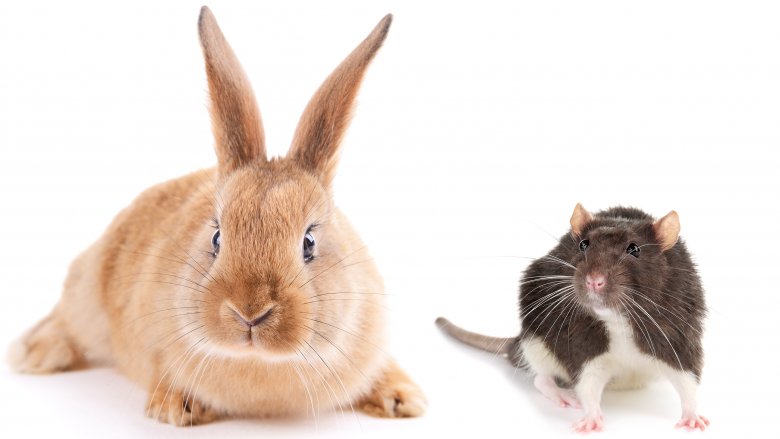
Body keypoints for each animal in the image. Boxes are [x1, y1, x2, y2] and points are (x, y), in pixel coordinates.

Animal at [8, 6, 426, 426]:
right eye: (216, 238)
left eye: (309, 242)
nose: (249, 312)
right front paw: (173, 408)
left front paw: (405, 398)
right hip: (86, 298)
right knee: (66, 325)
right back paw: (34, 353)